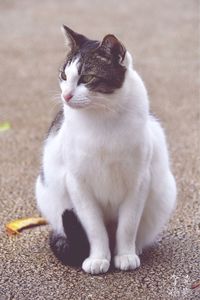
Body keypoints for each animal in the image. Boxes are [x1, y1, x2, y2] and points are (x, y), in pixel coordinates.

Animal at [35, 25, 176, 274]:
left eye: (87, 78)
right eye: (64, 76)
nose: (66, 95)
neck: (102, 117)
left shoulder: (138, 181)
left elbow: (128, 226)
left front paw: (125, 255)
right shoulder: (78, 183)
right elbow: (94, 228)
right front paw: (98, 258)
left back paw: (135, 248)